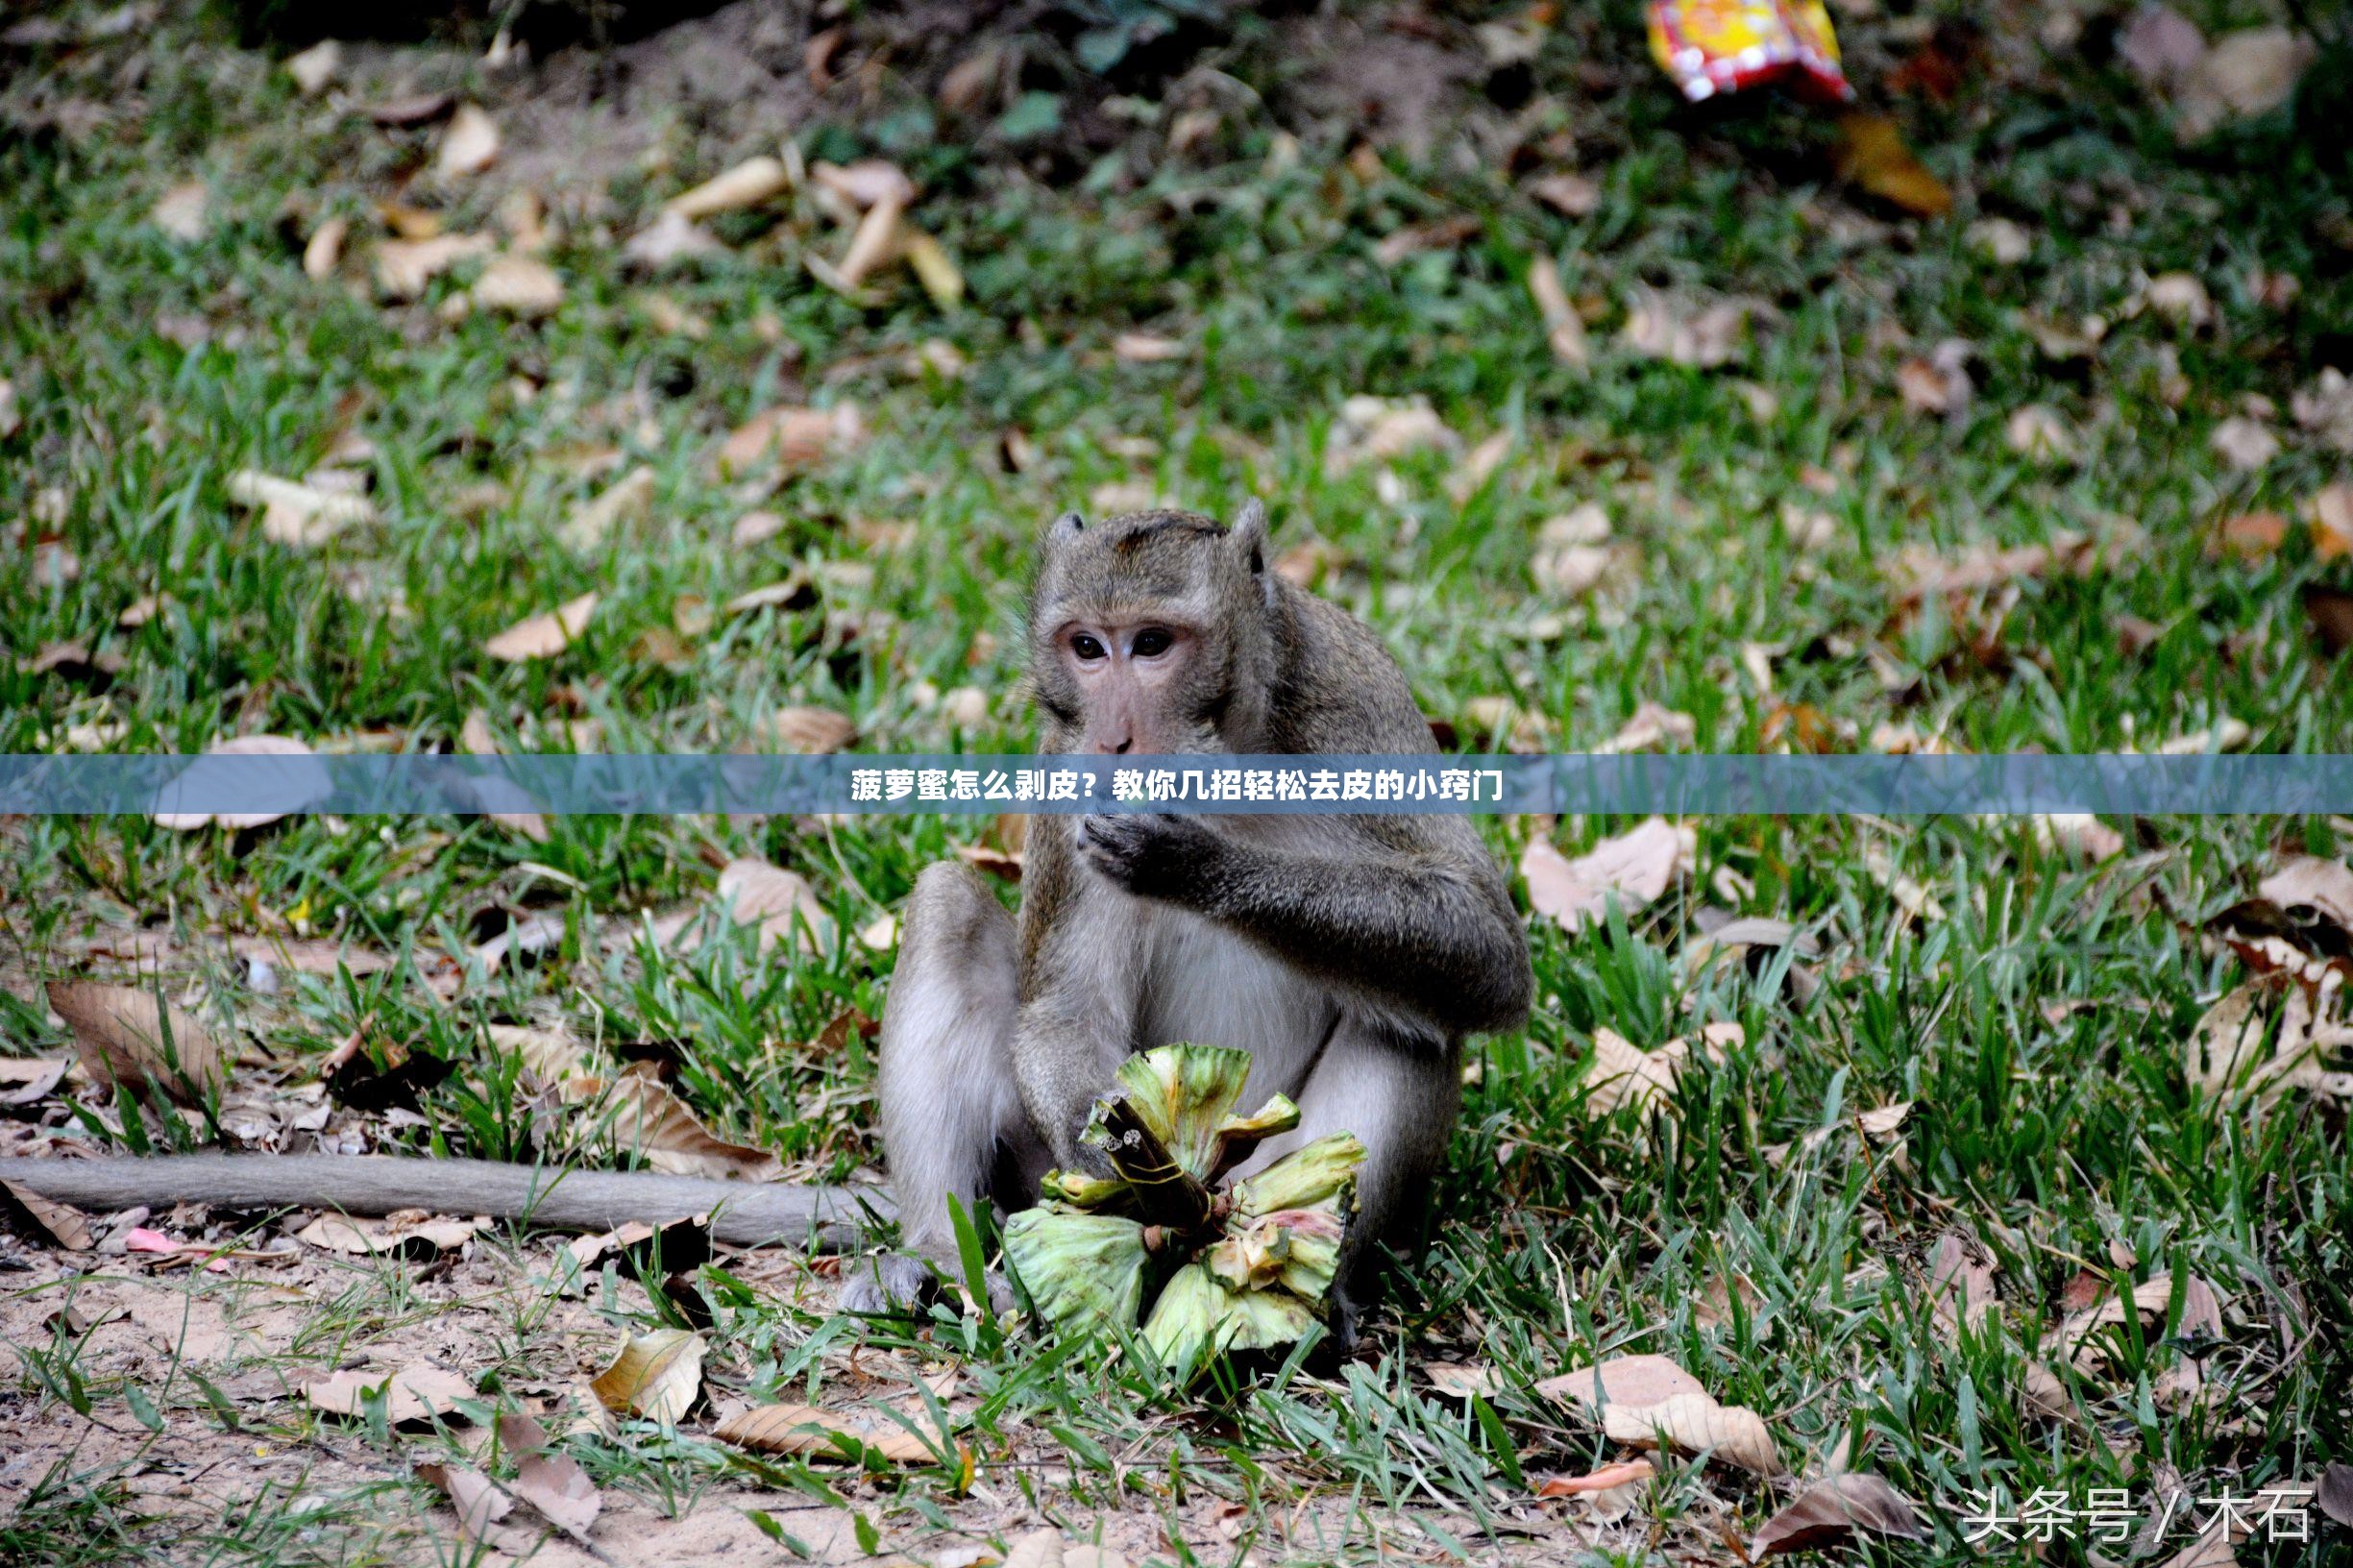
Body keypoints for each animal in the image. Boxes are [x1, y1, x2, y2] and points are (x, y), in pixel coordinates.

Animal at [837, 497, 1533, 1328]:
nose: (1115, 740)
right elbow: (1062, 1012)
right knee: (948, 904)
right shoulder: (1063, 759)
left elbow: (1481, 942)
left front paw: (1189, 862)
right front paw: (1121, 1170)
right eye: (1086, 648)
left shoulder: (1352, 703)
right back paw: (939, 1253)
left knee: (1411, 1019)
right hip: (1027, 1171)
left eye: (1152, 645)